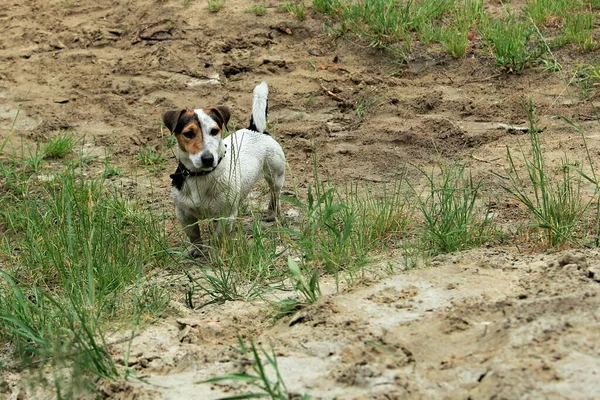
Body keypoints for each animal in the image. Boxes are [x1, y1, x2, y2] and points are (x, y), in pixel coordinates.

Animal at [162, 81, 286, 256]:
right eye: (188, 133)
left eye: (214, 131)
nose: (208, 159)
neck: (201, 176)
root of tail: (255, 129)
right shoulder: (183, 214)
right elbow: (194, 235)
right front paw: (196, 250)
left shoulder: (225, 216)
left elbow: (221, 237)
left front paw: (220, 253)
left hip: (276, 175)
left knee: (275, 195)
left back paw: (273, 213)